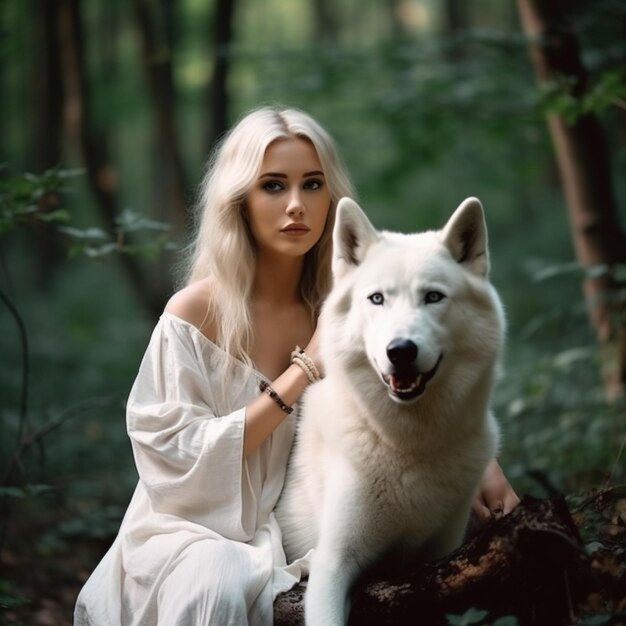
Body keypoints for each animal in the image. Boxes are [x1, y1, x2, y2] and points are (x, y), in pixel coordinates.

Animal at [276, 197, 504, 620]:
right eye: (377, 298)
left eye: (433, 297)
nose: (400, 351)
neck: (409, 444)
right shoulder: (332, 563)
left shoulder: (441, 554)